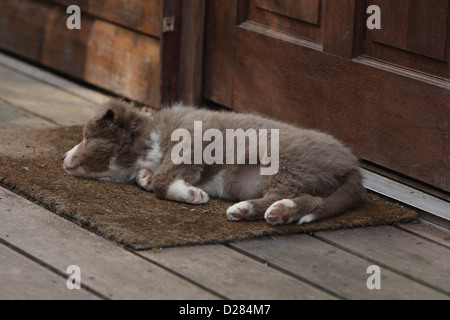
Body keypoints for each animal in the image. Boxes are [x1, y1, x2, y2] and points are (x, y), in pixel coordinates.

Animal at [61, 100, 364, 225]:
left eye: (87, 137)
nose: (62, 158)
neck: (147, 136)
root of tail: (353, 166)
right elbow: (151, 176)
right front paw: (145, 178)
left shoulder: (192, 142)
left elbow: (163, 180)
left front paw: (191, 193)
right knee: (314, 200)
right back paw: (283, 212)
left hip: (284, 159)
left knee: (285, 192)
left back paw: (249, 209)